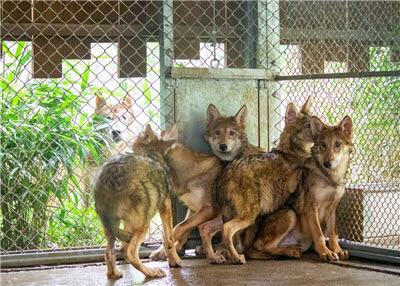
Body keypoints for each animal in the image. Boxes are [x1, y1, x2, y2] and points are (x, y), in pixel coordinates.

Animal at [93, 125, 180, 280]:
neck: (150, 155)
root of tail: (107, 183)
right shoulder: (166, 206)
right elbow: (169, 238)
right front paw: (176, 261)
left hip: (111, 229)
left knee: (109, 253)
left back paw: (114, 274)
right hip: (144, 225)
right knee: (130, 254)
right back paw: (152, 272)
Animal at [214, 96, 314, 264]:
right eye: (308, 125)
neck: (292, 150)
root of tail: (226, 175)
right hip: (252, 216)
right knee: (228, 230)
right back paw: (237, 257)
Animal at [247, 114, 354, 262]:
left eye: (337, 144)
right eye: (323, 144)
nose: (327, 163)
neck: (330, 178)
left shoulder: (333, 209)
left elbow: (333, 234)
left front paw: (337, 250)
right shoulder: (311, 208)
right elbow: (320, 235)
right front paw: (325, 252)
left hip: (304, 242)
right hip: (290, 214)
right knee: (266, 247)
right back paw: (290, 252)